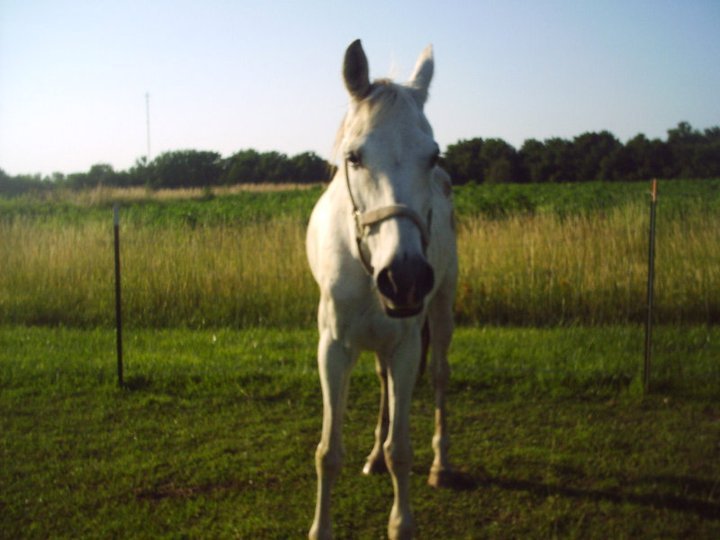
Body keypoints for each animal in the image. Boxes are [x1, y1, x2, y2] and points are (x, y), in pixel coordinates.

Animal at [306, 39, 458, 540]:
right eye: (354, 157)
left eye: (433, 156)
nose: (405, 278)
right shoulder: (333, 348)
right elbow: (328, 452)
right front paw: (321, 527)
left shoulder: (407, 345)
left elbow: (402, 451)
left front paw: (401, 522)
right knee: (383, 382)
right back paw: (372, 457)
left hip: (442, 311)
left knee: (440, 375)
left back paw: (442, 465)